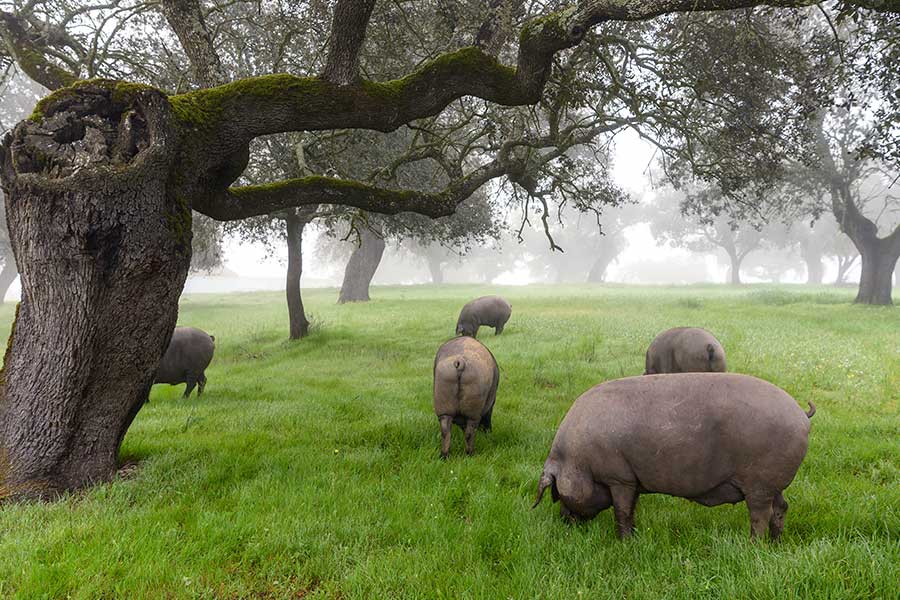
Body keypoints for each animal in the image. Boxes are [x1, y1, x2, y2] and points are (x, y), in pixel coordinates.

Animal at [536, 372, 816, 540]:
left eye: (556, 491)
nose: (563, 521)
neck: (577, 460)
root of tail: (801, 414)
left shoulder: (619, 477)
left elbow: (622, 511)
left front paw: (624, 542)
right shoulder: (634, 479)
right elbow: (632, 508)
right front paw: (635, 536)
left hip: (759, 482)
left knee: (760, 514)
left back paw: (753, 546)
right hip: (773, 483)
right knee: (782, 507)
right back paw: (776, 543)